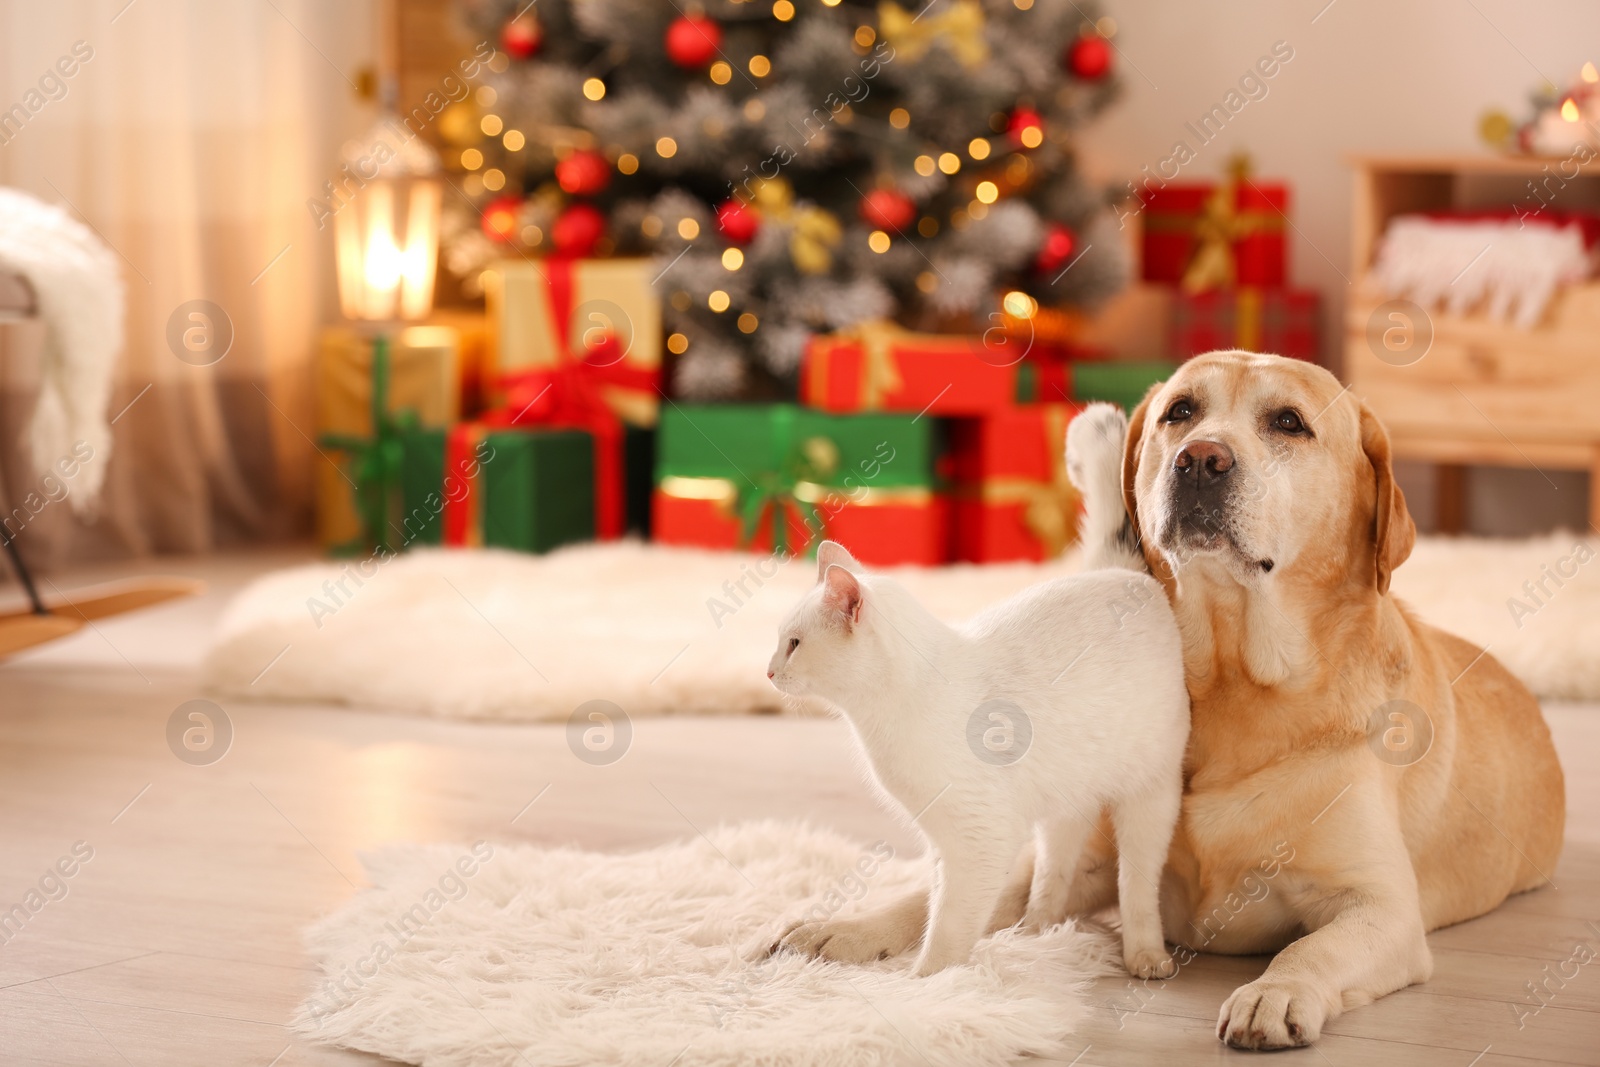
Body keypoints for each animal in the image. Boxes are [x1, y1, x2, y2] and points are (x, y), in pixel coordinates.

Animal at [761, 537, 1190, 979]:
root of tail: (1129, 575)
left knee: (1136, 884)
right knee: (1055, 863)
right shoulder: (943, 842)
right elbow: (934, 906)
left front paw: (926, 982)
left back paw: (1146, 956)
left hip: (1149, 798)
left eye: (793, 644)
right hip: (1068, 798)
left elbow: (947, 930)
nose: (768, 672)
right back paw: (1038, 930)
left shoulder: (980, 840)